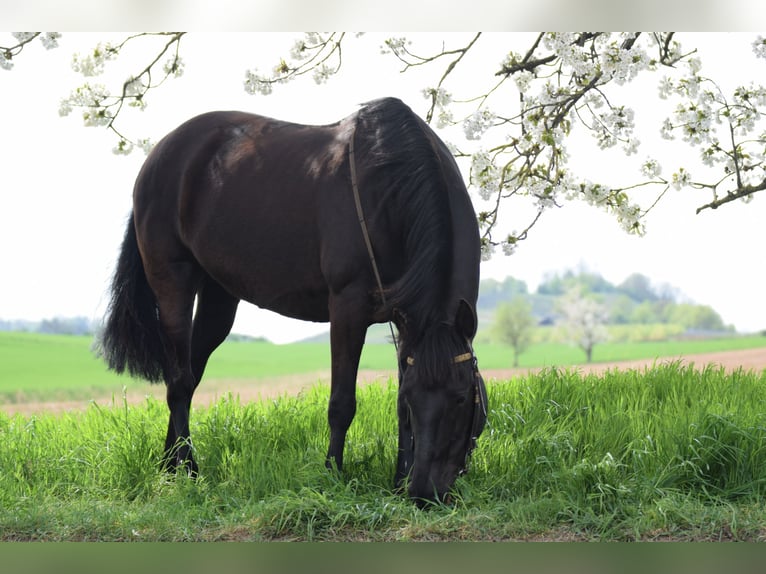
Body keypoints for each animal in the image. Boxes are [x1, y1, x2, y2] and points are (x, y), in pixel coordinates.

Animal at [98, 97, 487, 505]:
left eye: (462, 397)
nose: (424, 493)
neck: (391, 187)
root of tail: (159, 153)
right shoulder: (348, 308)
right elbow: (342, 403)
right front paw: (332, 475)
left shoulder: (408, 321)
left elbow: (395, 404)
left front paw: (397, 480)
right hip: (172, 280)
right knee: (178, 380)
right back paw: (189, 470)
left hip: (219, 296)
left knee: (189, 377)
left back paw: (169, 466)